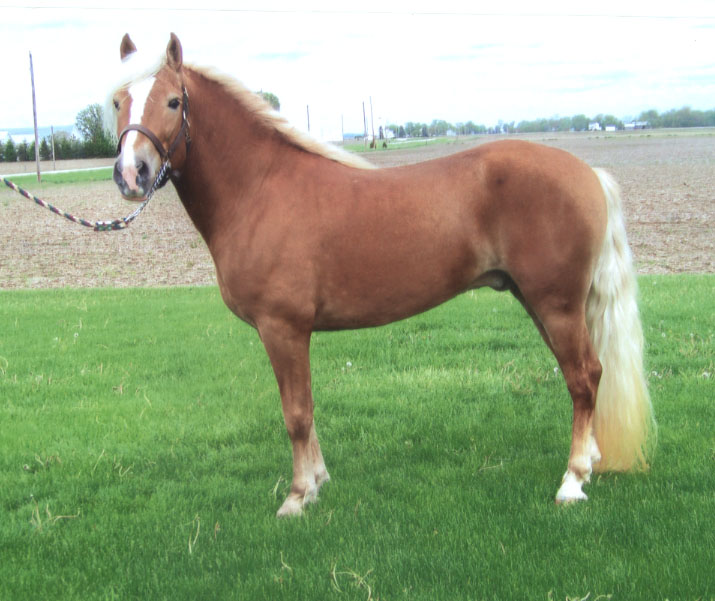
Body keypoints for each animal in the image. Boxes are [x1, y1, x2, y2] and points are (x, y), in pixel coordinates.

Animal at [109, 33, 655, 517]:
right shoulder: (293, 333)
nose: (132, 174)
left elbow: (296, 414)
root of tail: (589, 174)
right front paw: (319, 481)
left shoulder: (282, 328)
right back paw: (589, 463)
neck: (260, 187)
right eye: (117, 100)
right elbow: (307, 409)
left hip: (556, 304)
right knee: (586, 376)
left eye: (174, 101)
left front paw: (298, 496)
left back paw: (572, 481)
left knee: (584, 377)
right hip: (541, 301)